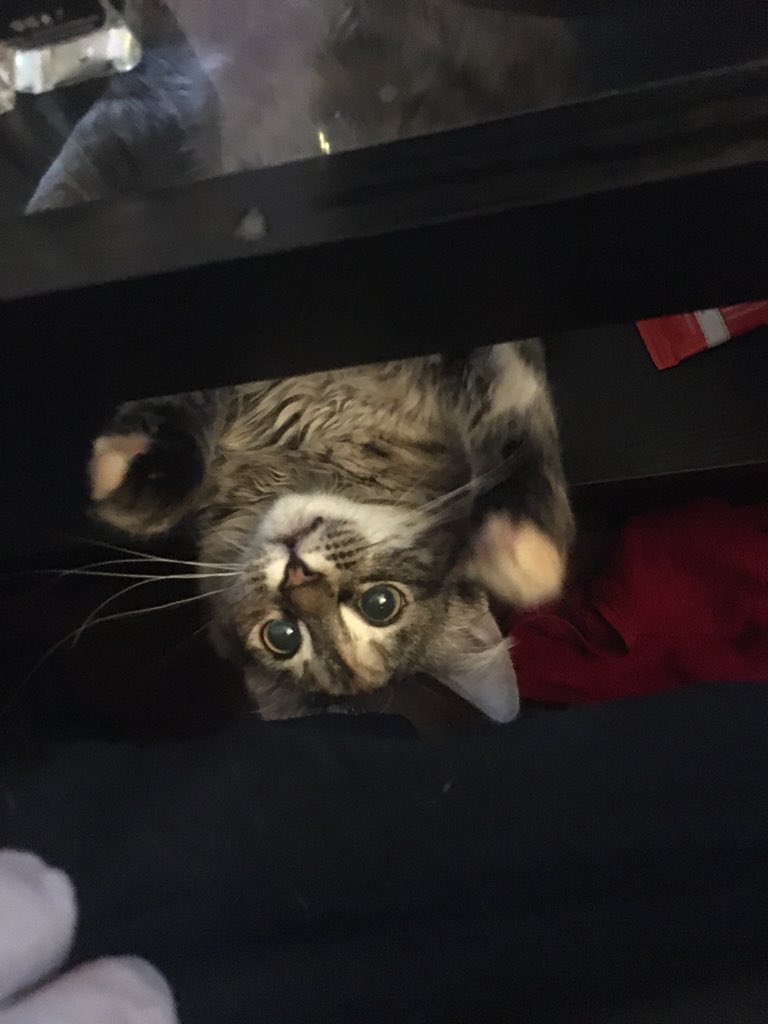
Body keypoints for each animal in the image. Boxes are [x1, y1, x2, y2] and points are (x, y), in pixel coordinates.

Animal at [88, 341, 573, 721]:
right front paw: (131, 481)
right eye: (282, 636)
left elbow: (513, 415)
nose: (297, 573)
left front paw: (524, 551)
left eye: (380, 604)